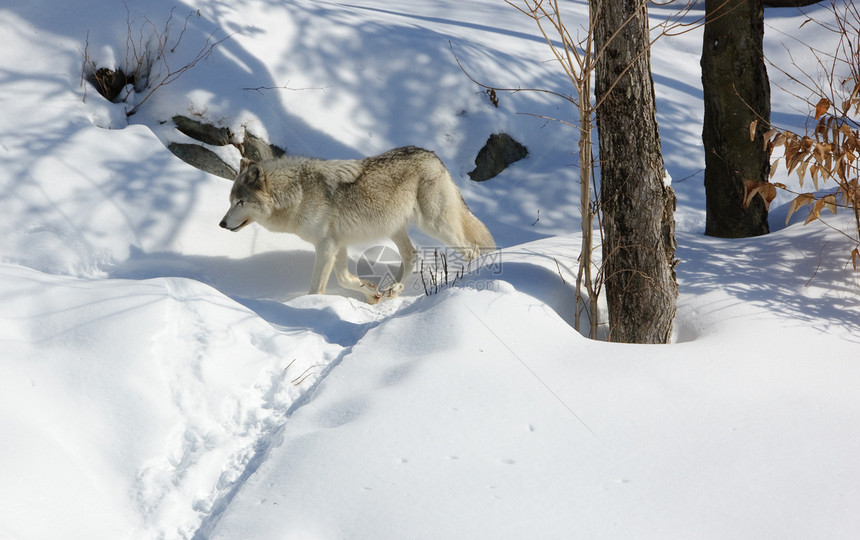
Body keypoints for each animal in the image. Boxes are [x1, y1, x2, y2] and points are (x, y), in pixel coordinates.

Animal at [218, 146, 494, 302]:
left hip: (435, 226)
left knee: (472, 250)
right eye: (230, 201)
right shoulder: (336, 244)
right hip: (395, 229)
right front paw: (370, 293)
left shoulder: (326, 246)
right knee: (412, 255)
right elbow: (343, 279)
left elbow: (316, 288)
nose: (221, 223)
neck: (298, 193)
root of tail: (434, 156)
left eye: (241, 202)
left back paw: (467, 279)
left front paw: (311, 309)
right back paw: (394, 289)